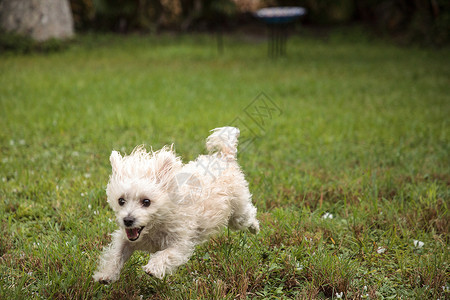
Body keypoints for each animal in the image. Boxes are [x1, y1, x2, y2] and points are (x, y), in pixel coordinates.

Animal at [92, 126, 258, 284]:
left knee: (248, 215)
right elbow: (116, 254)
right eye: (121, 201)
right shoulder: (126, 239)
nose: (127, 220)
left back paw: (255, 228)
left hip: (238, 213)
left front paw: (154, 267)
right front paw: (106, 274)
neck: (156, 224)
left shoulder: (181, 243)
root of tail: (224, 157)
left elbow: (167, 254)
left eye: (146, 202)